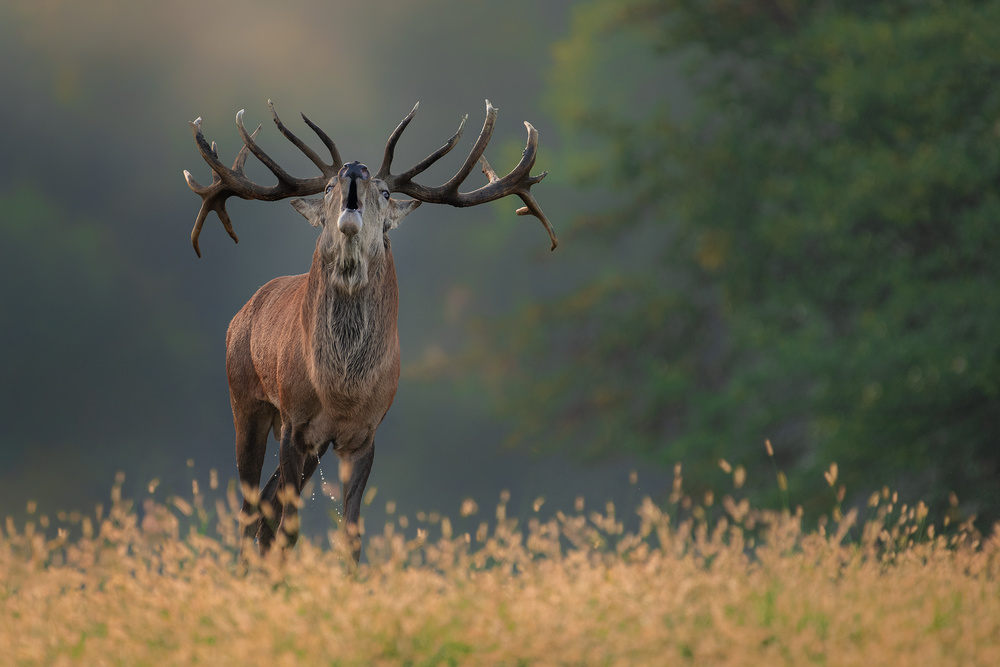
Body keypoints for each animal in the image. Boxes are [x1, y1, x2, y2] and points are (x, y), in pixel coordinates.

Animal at [184, 99, 560, 560]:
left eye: (385, 193)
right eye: (328, 187)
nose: (355, 168)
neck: (341, 390)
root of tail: (242, 313)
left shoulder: (365, 433)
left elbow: (351, 535)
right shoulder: (293, 421)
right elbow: (290, 527)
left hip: (310, 442)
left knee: (266, 507)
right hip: (245, 400)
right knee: (251, 510)